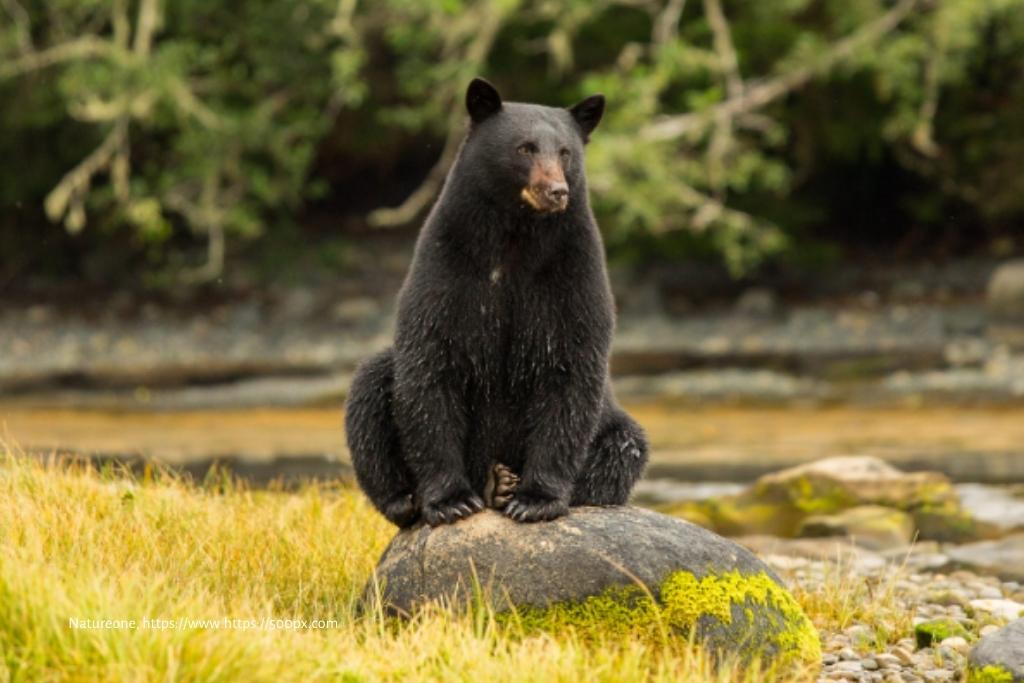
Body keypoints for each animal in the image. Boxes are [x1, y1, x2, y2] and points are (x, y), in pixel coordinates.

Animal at [344, 78, 647, 528]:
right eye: (525, 148)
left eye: (565, 152)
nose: (557, 191)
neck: (514, 238)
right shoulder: (448, 264)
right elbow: (430, 367)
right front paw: (450, 500)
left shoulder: (573, 272)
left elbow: (571, 371)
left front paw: (536, 499)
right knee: (370, 390)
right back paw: (417, 496)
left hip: (615, 425)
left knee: (623, 449)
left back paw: (503, 486)